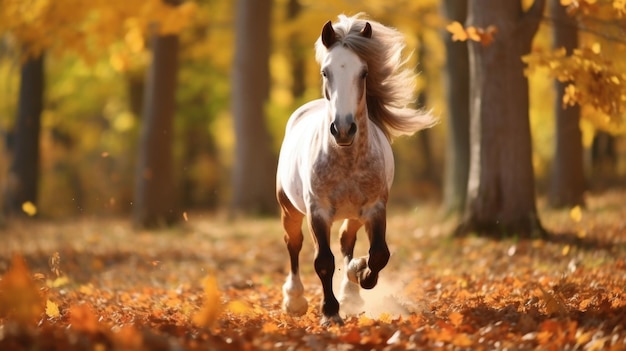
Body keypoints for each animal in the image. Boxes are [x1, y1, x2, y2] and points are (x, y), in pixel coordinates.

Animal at [272, 13, 434, 328]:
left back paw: (351, 287)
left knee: (346, 241)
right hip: (290, 209)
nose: (344, 129)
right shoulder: (318, 210)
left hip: (353, 214)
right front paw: (330, 313)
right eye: (326, 72)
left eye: (364, 72)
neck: (346, 159)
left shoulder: (374, 208)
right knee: (293, 244)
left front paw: (360, 275)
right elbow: (323, 261)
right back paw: (295, 300)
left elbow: (379, 254)